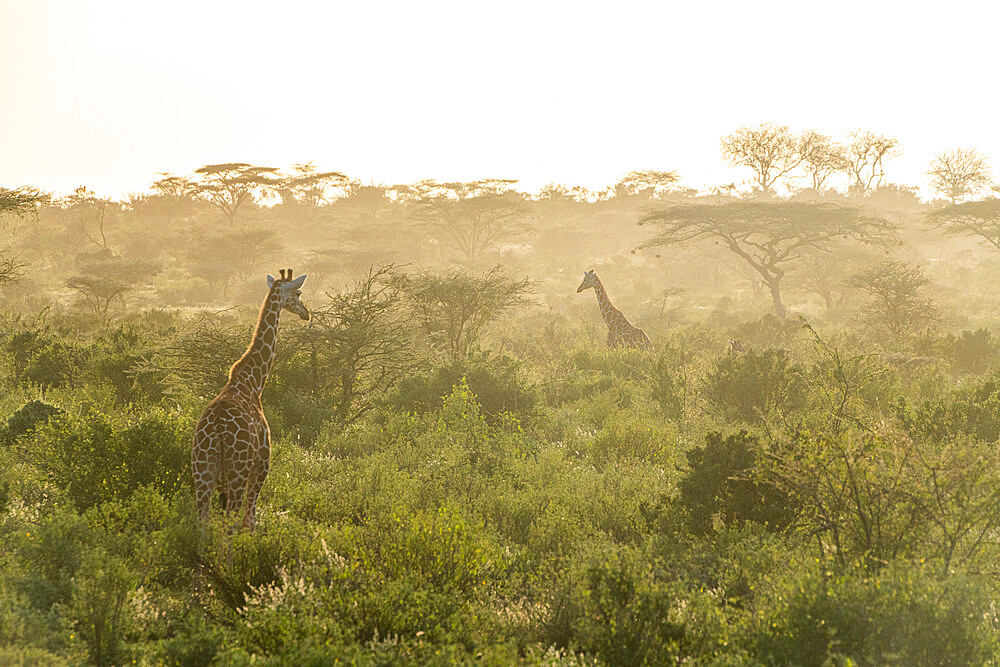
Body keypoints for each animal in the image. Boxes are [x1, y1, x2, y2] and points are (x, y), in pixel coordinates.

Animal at [190, 268, 308, 528]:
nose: (306, 313)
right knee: (232, 519)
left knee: (203, 520)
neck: (253, 383)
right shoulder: (262, 462)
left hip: (202, 471)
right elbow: (250, 520)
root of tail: (218, 433)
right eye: (298, 293)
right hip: (238, 471)